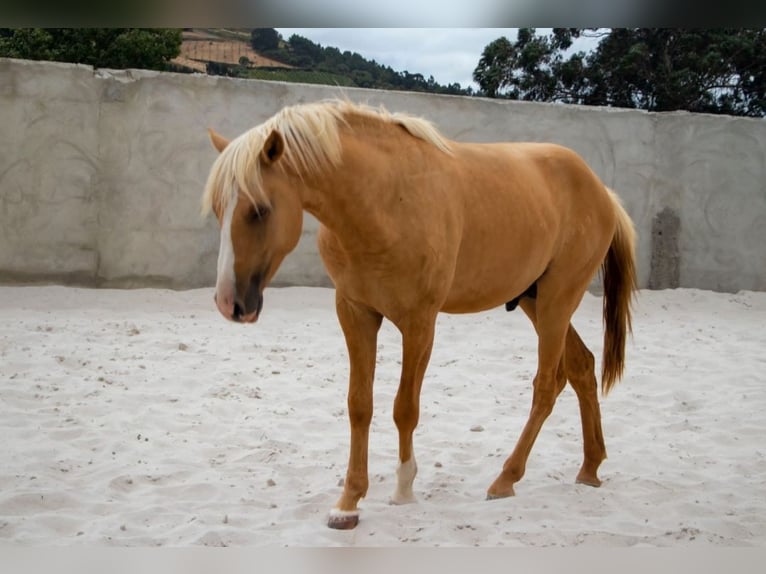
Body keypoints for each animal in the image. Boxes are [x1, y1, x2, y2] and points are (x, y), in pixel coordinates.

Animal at [201, 99, 640, 532]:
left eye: (259, 210)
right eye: (220, 210)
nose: (228, 303)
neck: (384, 200)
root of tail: (602, 192)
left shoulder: (419, 323)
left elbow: (404, 408)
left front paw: (403, 489)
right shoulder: (355, 313)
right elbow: (359, 405)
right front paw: (349, 502)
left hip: (556, 302)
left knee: (547, 386)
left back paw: (506, 479)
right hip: (537, 301)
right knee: (582, 367)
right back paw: (589, 468)